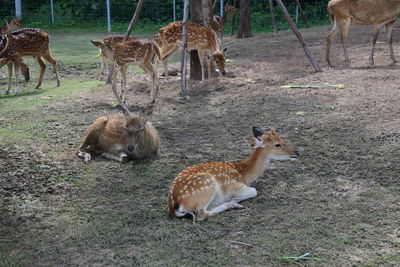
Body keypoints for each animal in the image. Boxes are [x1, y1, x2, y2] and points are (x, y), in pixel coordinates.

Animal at [166, 127, 300, 222]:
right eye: (277, 144)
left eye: (282, 139)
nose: (297, 152)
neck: (243, 174)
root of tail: (173, 205)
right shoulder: (235, 185)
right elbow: (254, 191)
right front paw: (235, 198)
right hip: (207, 186)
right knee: (200, 214)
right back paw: (232, 203)